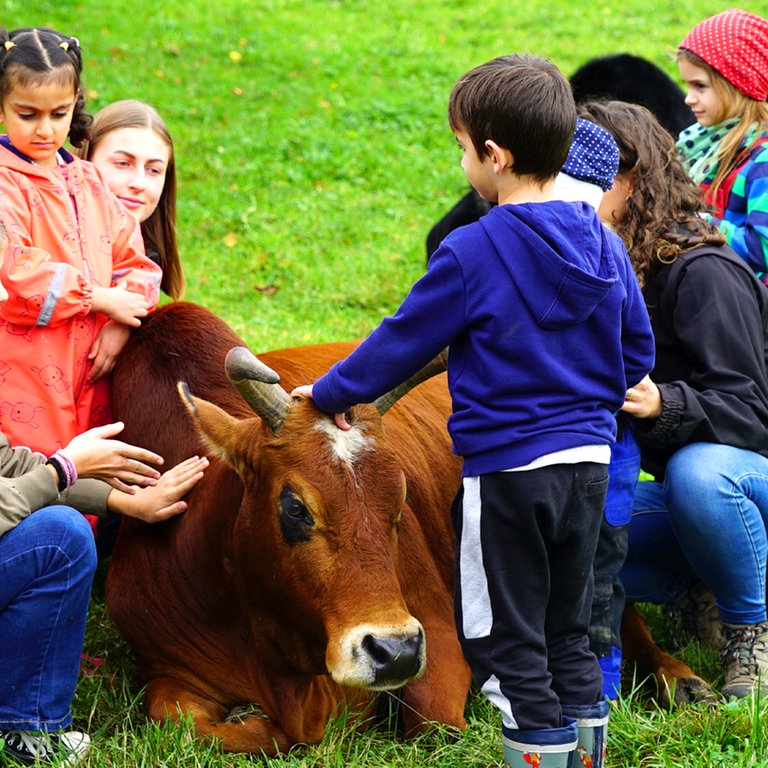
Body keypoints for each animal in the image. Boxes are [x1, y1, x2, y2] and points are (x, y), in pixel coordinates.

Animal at [105, 302, 472, 756]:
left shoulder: (436, 632)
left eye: (399, 501)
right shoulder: (167, 669)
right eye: (295, 508)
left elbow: (433, 724)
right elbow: (188, 724)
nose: (395, 652)